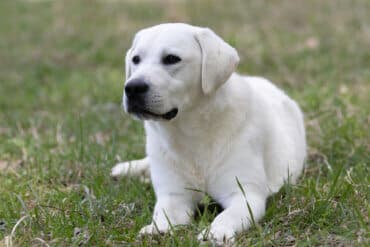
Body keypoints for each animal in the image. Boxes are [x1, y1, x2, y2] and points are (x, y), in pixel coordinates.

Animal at [110, 23, 306, 245]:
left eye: (171, 58)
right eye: (136, 59)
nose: (132, 87)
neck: (191, 132)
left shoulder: (245, 195)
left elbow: (227, 215)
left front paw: (214, 232)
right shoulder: (174, 195)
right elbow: (163, 213)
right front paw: (156, 229)